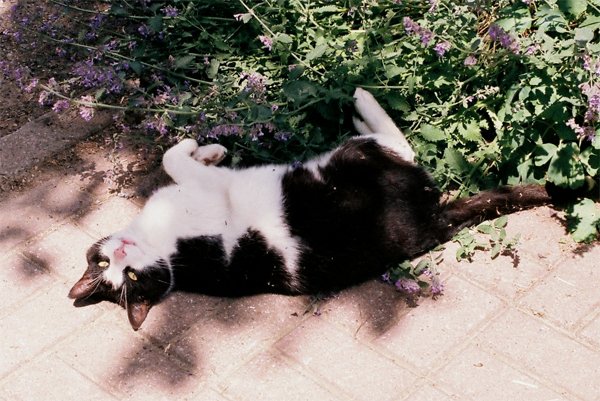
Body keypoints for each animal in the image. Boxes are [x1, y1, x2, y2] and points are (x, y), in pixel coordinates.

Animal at [69, 88, 554, 330]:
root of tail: (433, 223)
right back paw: (362, 101)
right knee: (401, 146)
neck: (169, 253)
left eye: (107, 266)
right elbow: (175, 159)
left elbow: (176, 157)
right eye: (127, 277)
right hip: (353, 162)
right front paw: (203, 149)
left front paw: (209, 150)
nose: (122, 255)